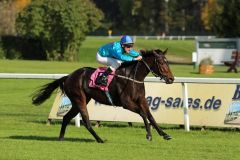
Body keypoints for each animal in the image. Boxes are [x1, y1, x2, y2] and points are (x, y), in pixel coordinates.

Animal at [31, 48, 174, 142]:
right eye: (161, 63)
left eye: (167, 62)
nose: (171, 79)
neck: (132, 77)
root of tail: (68, 77)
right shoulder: (126, 103)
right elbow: (143, 114)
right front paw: (149, 135)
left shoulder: (142, 100)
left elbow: (151, 116)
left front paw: (164, 134)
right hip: (79, 99)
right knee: (86, 122)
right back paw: (100, 139)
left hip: (80, 101)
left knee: (66, 117)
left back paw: (61, 138)